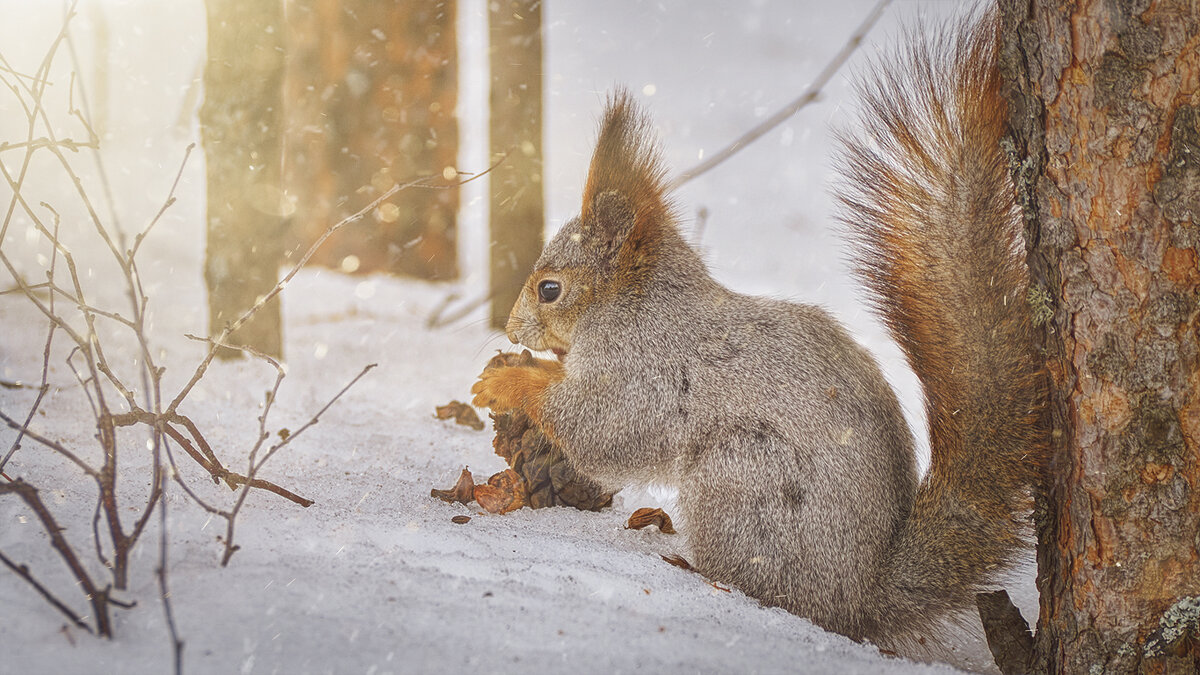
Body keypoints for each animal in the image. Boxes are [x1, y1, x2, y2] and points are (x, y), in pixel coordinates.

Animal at [472, 7, 1046, 643]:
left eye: (550, 289)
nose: (512, 330)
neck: (632, 304)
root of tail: (858, 600)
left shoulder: (647, 370)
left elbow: (604, 427)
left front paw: (508, 381)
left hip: (743, 481)